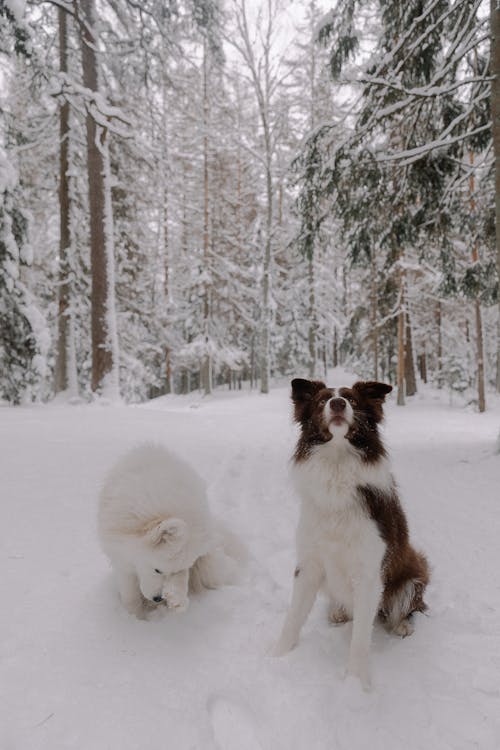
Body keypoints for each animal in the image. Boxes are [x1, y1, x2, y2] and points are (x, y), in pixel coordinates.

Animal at [97, 444, 242, 620]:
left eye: (175, 571)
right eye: (157, 570)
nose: (158, 599)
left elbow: (182, 579)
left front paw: (177, 601)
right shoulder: (123, 560)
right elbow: (130, 595)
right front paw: (135, 619)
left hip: (210, 566)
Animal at [274, 378, 430, 692]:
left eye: (353, 401)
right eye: (322, 401)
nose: (337, 403)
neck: (337, 464)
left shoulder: (368, 572)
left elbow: (360, 638)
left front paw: (356, 683)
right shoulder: (309, 563)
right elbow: (293, 616)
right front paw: (277, 656)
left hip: (416, 571)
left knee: (406, 607)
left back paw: (402, 624)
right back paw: (339, 611)